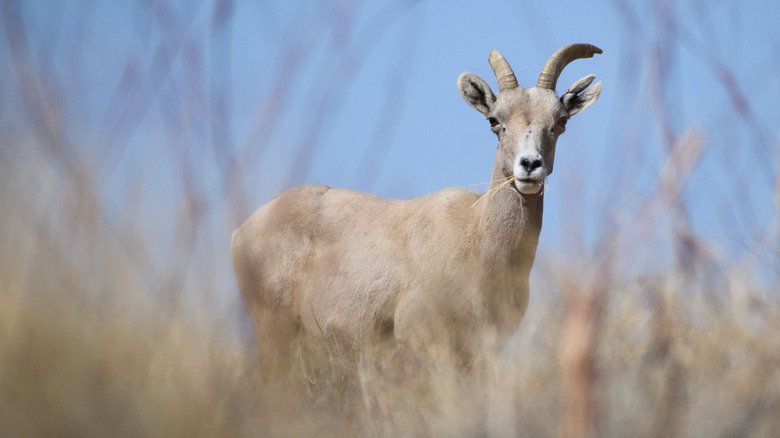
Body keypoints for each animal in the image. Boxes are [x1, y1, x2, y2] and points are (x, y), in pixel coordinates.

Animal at [232, 43, 602, 377]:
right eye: (495, 120)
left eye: (560, 120)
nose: (529, 166)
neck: (478, 241)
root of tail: (242, 232)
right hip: (274, 336)